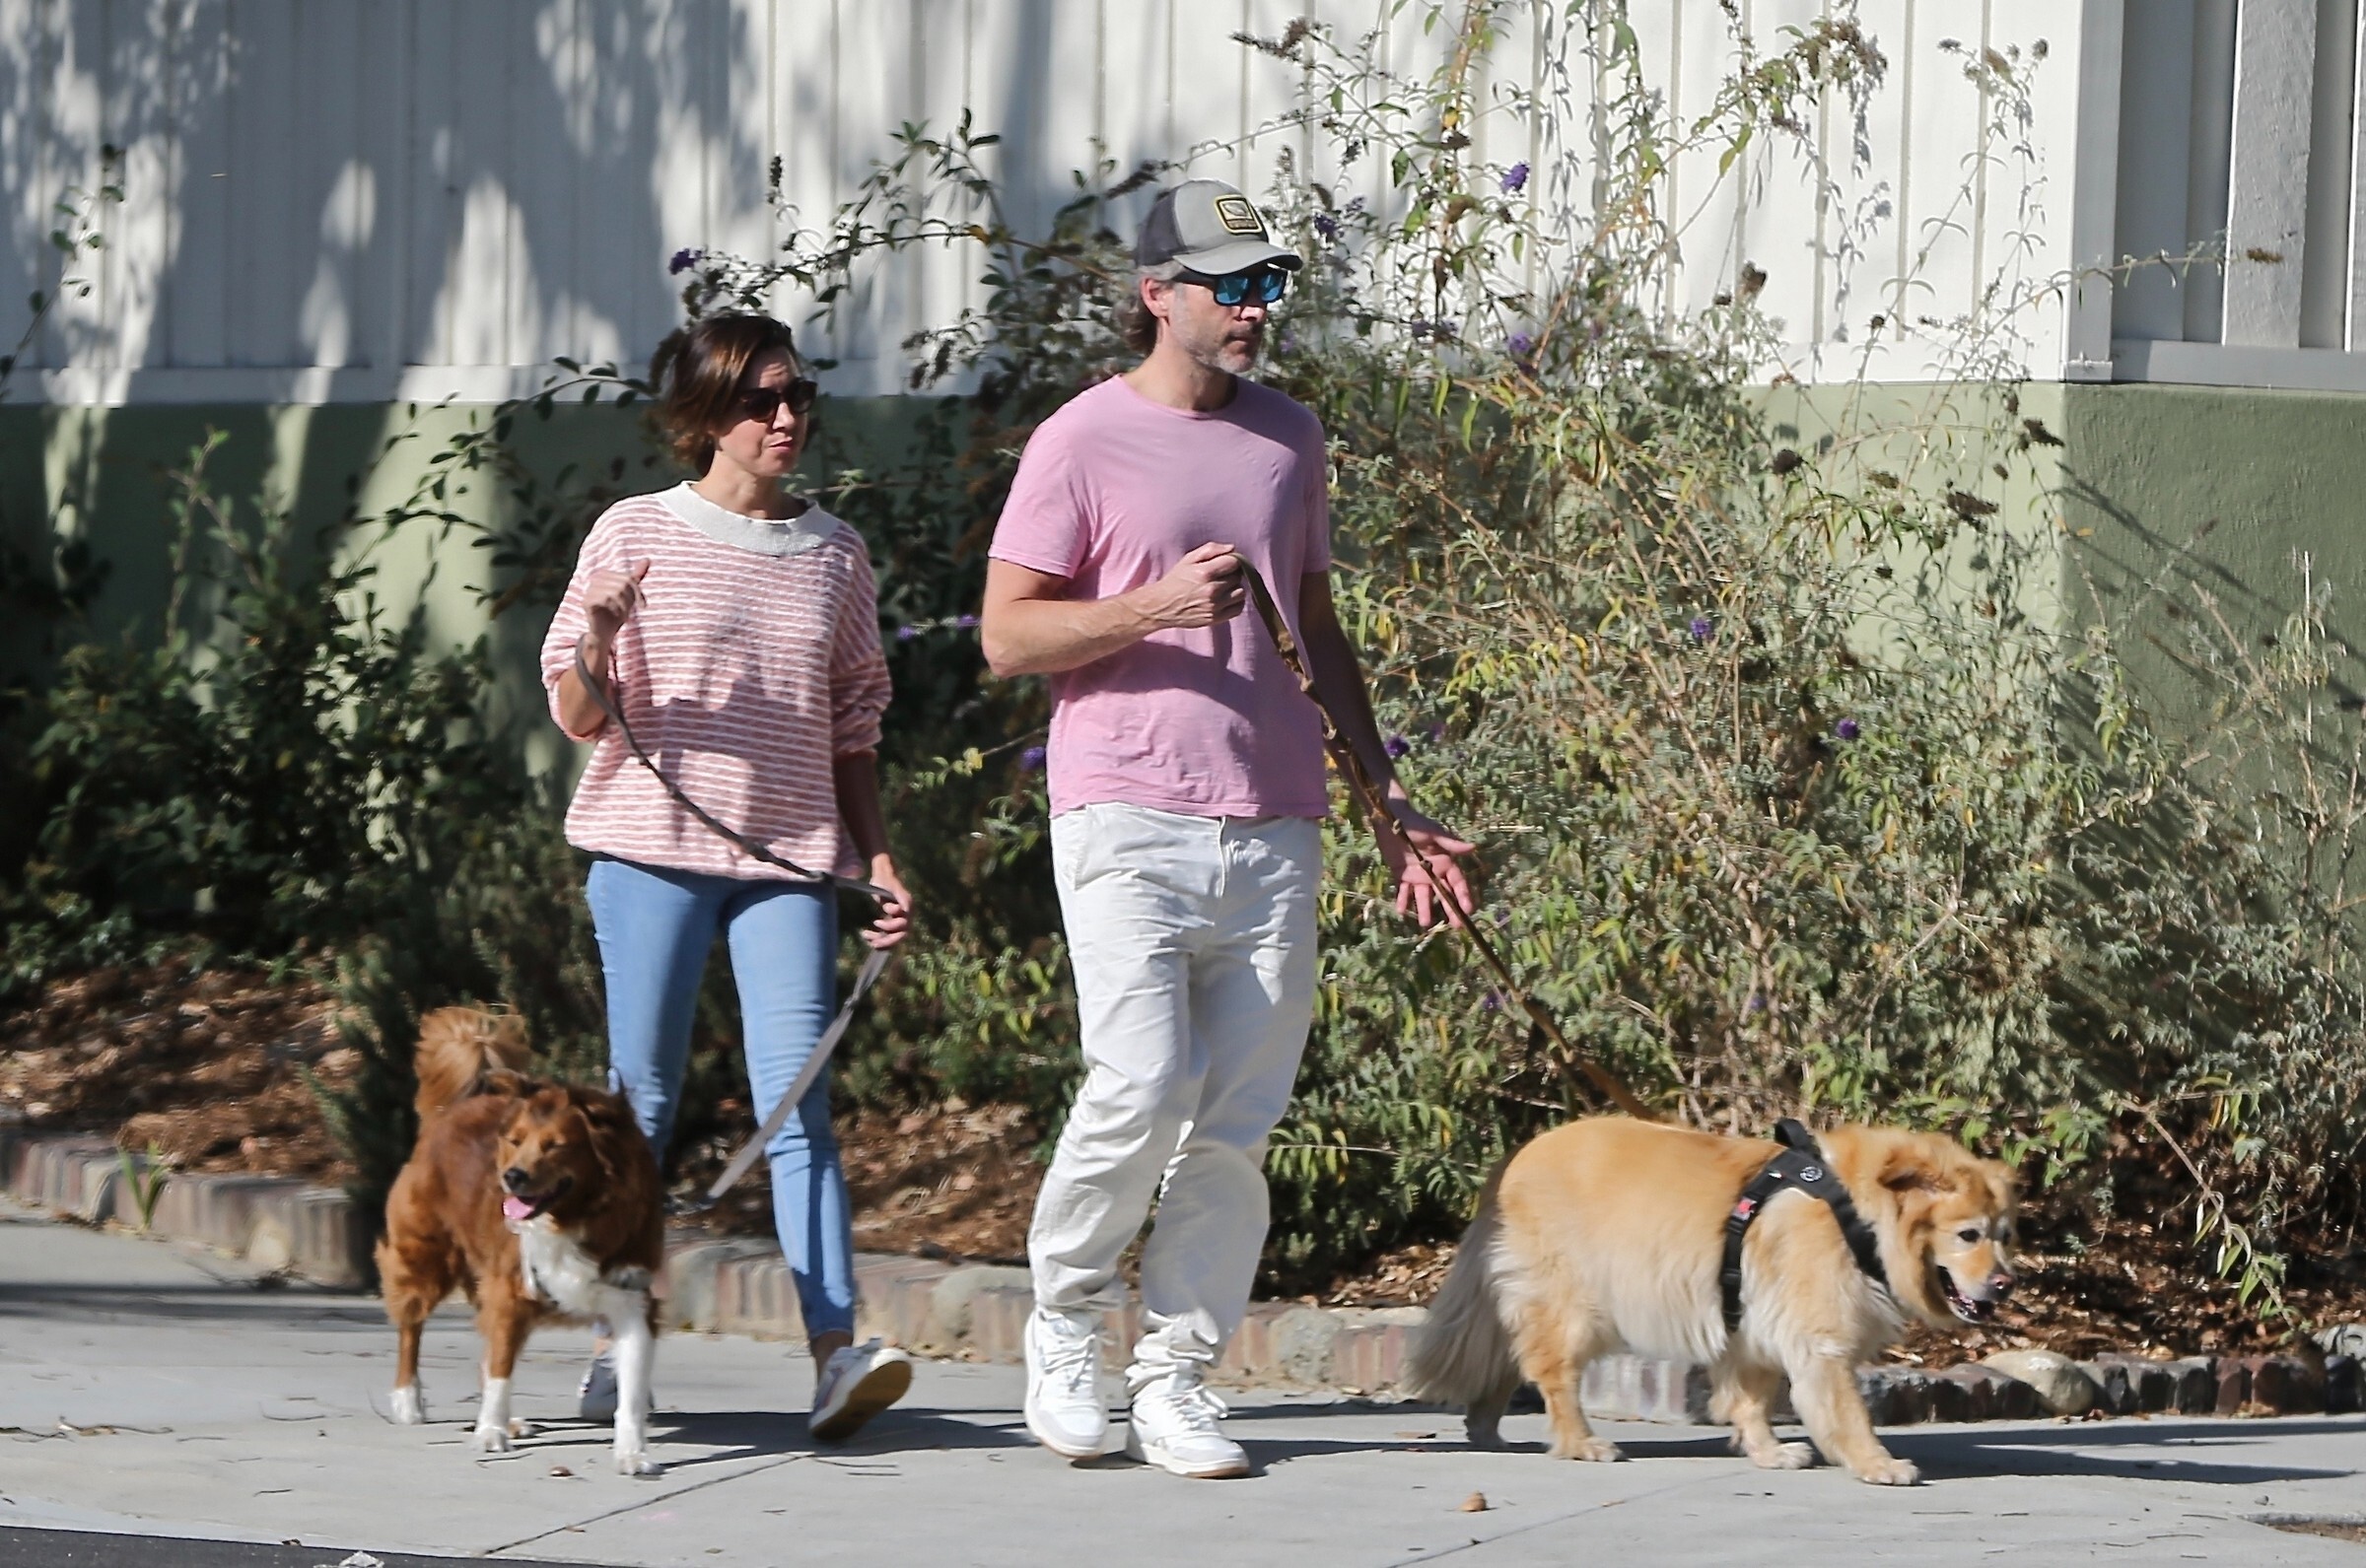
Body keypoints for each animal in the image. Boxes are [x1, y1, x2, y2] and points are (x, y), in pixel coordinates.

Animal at [378, 1006, 667, 1476]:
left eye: (556, 1146)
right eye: (514, 1142)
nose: (510, 1177)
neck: (575, 1216)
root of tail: (449, 1113)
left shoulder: (632, 1300)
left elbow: (633, 1391)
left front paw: (632, 1452)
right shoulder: (510, 1290)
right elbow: (500, 1370)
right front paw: (490, 1432)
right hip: (426, 1257)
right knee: (411, 1329)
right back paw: (408, 1400)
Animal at [1405, 1115, 2017, 1485]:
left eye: (2002, 1235)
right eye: (1968, 1235)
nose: (2006, 1285)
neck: (1858, 1215)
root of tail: (1514, 1161)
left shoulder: (1755, 1328)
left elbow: (1750, 1401)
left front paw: (1767, 1452)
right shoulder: (1820, 1343)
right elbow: (1847, 1412)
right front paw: (1876, 1462)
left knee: (1505, 1360)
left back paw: (1487, 1431)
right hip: (1578, 1310)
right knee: (1551, 1374)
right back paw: (1580, 1443)